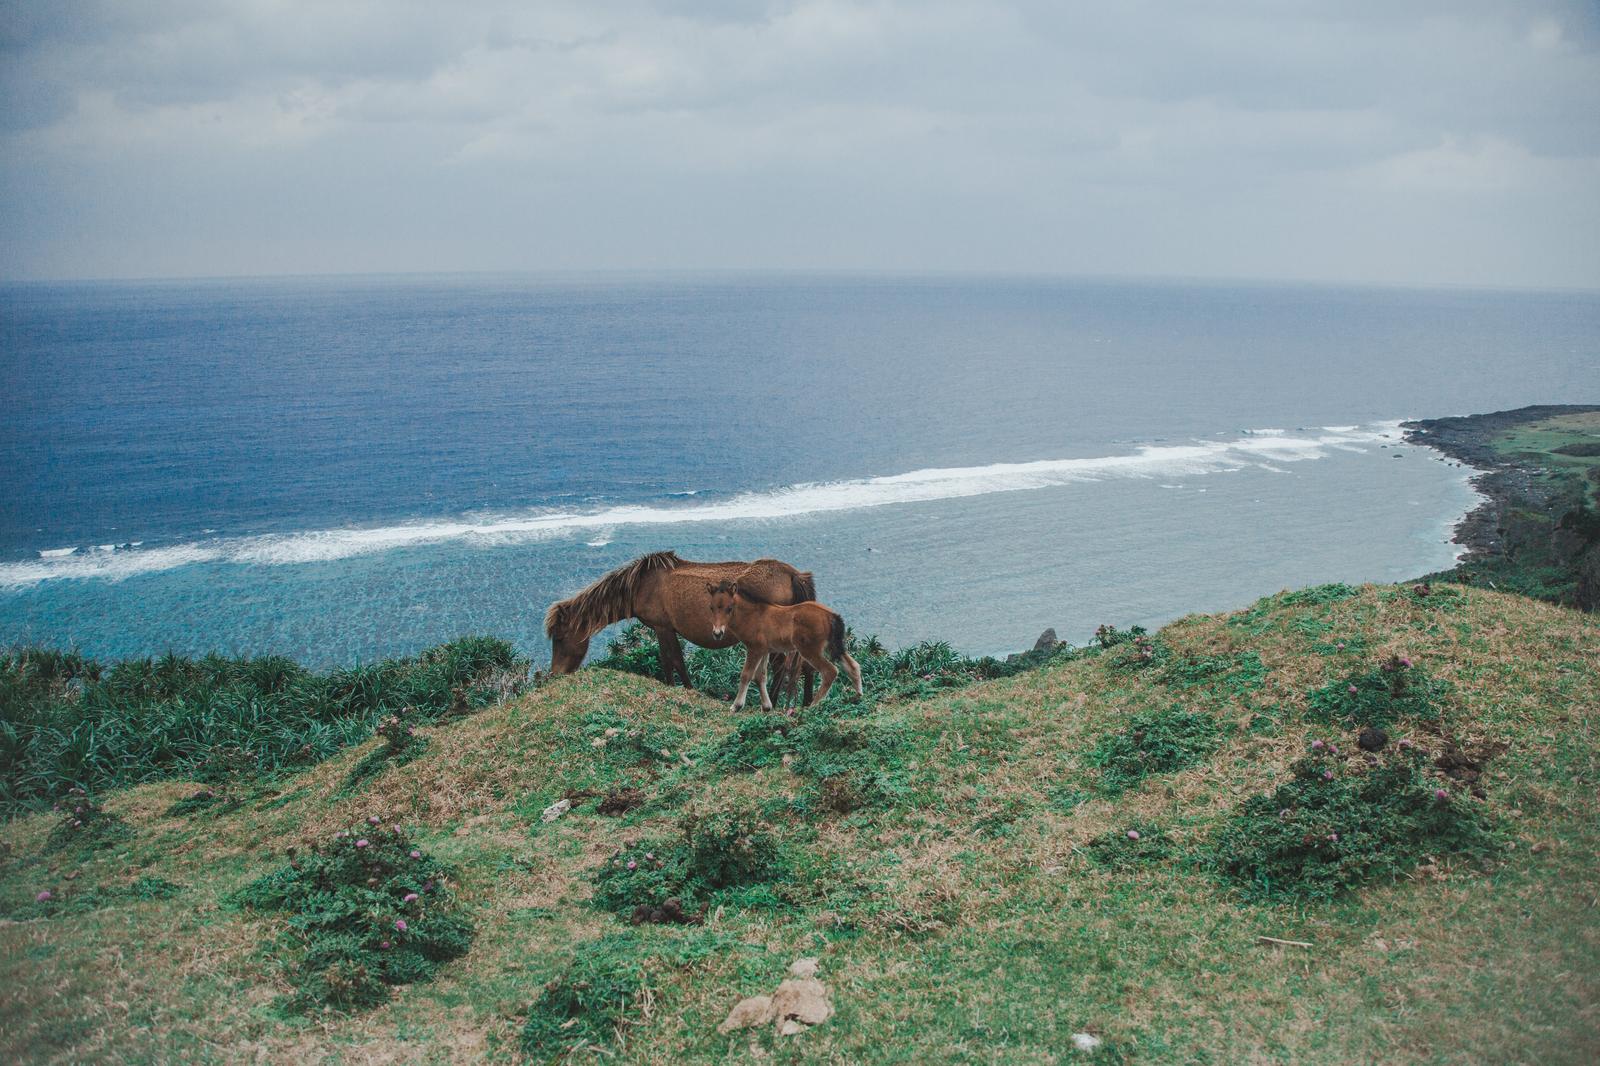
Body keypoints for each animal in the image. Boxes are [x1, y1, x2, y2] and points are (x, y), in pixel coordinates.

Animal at [543, 551, 815, 701]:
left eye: (559, 638)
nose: (555, 674)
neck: (640, 584)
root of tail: (793, 575)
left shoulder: (662, 628)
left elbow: (670, 660)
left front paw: (681, 689)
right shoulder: (667, 630)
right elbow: (675, 660)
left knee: (782, 668)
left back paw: (775, 702)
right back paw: (804, 704)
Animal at [706, 579, 864, 711]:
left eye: (729, 608)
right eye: (711, 608)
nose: (717, 633)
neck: (753, 616)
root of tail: (830, 615)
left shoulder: (754, 649)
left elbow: (746, 675)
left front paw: (736, 706)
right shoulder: (764, 651)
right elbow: (760, 676)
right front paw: (767, 707)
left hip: (809, 650)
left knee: (830, 671)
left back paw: (813, 706)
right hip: (832, 647)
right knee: (853, 665)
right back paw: (857, 697)